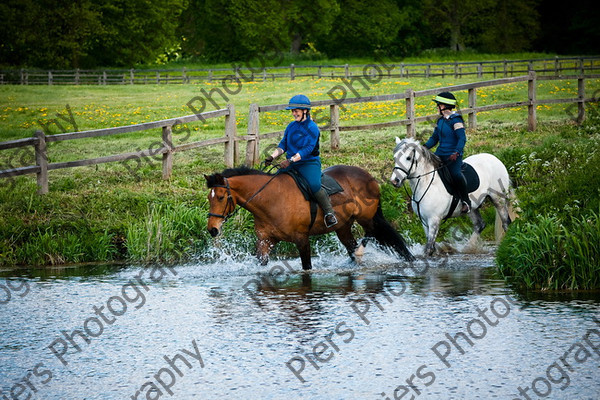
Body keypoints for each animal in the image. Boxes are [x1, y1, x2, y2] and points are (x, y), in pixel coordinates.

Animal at [205, 164, 412, 270]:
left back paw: (360, 252)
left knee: (371, 232)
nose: (212, 230)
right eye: (209, 198)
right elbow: (262, 264)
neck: (270, 199)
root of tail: (368, 176)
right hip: (343, 227)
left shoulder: (302, 239)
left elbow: (306, 267)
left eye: (221, 197)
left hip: (366, 218)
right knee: (353, 244)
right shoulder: (265, 240)